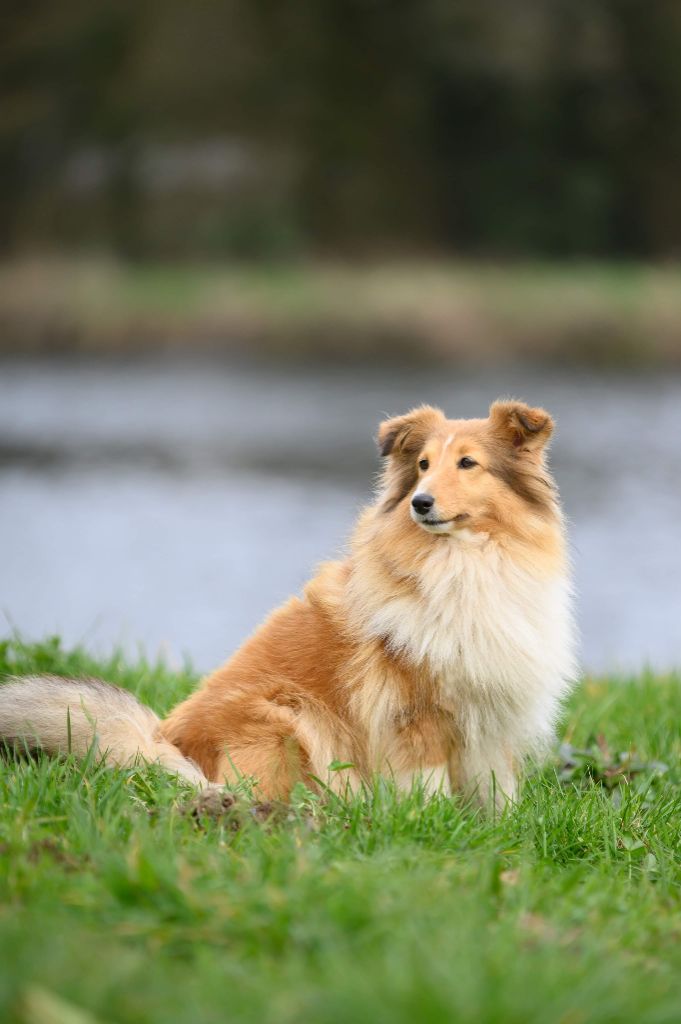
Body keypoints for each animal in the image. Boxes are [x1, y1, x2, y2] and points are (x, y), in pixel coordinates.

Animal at [0, 401, 573, 806]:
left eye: (468, 463)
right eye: (424, 464)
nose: (420, 502)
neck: (466, 564)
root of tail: (162, 745)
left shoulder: (490, 715)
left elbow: (498, 792)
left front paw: (500, 833)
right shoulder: (415, 712)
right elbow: (426, 786)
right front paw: (429, 826)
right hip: (289, 714)